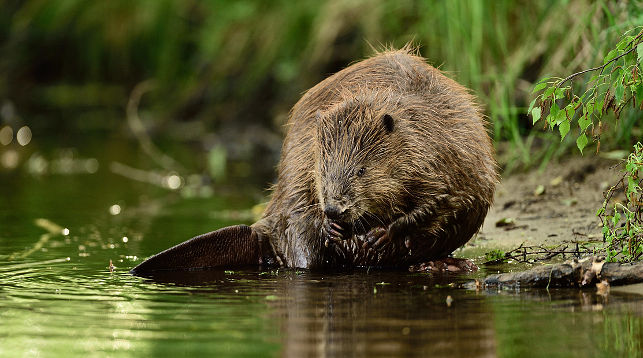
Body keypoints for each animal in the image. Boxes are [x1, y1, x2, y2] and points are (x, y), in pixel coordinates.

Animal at [131, 46, 498, 272]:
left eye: (361, 170)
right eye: (324, 170)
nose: (334, 209)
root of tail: (260, 230)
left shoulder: (441, 151)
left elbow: (442, 200)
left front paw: (382, 234)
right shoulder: (308, 156)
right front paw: (335, 228)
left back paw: (443, 264)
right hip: (289, 213)